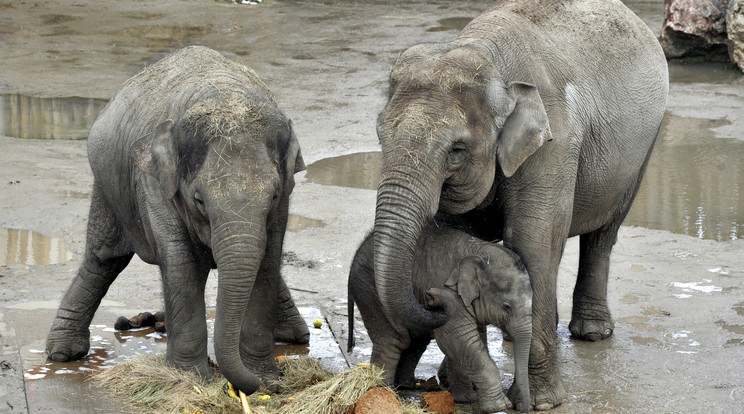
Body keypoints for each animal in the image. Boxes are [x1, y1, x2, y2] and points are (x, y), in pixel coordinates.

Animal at [46, 46, 308, 394]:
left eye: (275, 195)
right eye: (199, 200)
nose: (247, 387)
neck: (225, 95)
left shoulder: (283, 200)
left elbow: (267, 259)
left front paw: (264, 379)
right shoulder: (154, 180)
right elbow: (181, 262)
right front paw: (190, 380)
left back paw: (294, 336)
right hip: (108, 185)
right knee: (103, 258)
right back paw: (63, 354)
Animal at [346, 223, 532, 414]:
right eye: (506, 306)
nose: (431, 295)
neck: (479, 250)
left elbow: (469, 341)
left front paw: (465, 399)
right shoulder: (450, 291)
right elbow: (457, 338)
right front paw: (499, 406)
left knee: (416, 341)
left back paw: (406, 385)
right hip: (370, 291)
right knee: (393, 340)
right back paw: (383, 391)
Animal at [372, 0, 668, 410]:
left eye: (457, 150)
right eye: (380, 133)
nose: (431, 301)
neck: (488, 57)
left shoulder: (554, 144)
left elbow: (532, 241)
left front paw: (542, 402)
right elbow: (453, 238)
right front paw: (461, 388)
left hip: (642, 151)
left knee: (602, 235)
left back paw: (592, 333)